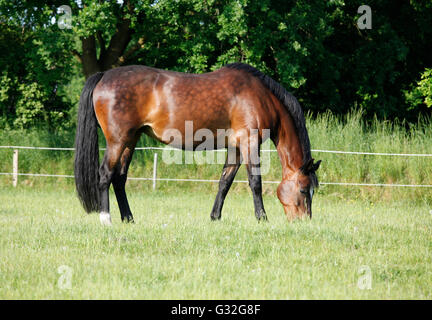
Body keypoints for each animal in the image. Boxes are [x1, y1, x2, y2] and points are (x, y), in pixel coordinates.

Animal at [72, 63, 318, 226]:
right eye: (303, 189)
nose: (304, 221)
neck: (261, 97)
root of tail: (104, 76)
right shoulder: (249, 143)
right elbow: (255, 182)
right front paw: (262, 218)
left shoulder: (236, 148)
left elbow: (225, 182)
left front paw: (215, 217)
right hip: (117, 140)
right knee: (105, 174)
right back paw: (106, 219)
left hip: (130, 140)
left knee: (120, 178)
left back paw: (129, 219)